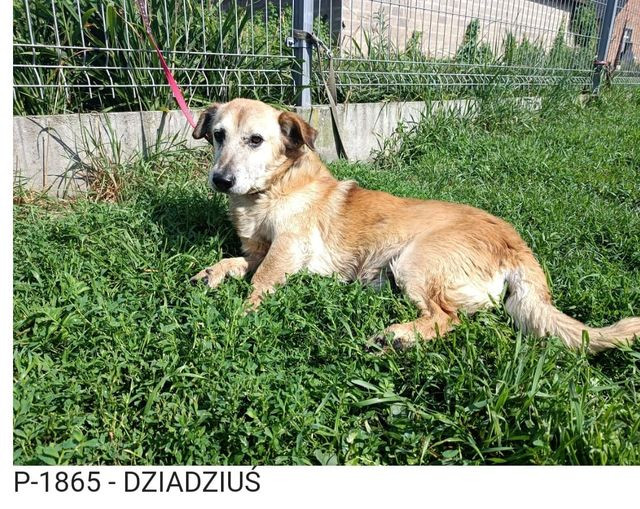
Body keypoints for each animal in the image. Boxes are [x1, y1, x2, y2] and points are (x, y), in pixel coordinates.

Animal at [190, 98, 640, 353]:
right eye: (218, 135)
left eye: (255, 140)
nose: (221, 180)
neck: (271, 190)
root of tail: (516, 245)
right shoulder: (258, 249)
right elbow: (239, 262)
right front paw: (212, 274)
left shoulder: (288, 249)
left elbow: (261, 280)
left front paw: (243, 312)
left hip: (413, 261)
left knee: (447, 318)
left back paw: (398, 337)